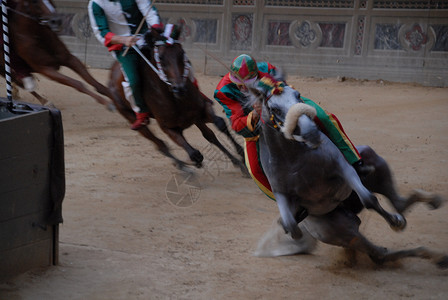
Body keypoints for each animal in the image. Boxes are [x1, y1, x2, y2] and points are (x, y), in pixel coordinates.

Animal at [108, 26, 248, 176]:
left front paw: (241, 158)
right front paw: (196, 161)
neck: (174, 99)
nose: (179, 88)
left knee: (208, 135)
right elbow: (193, 152)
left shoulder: (200, 111)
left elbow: (219, 125)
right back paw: (183, 167)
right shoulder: (168, 127)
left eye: (182, 53)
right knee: (160, 144)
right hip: (131, 116)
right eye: (161, 57)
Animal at [247, 78, 448, 268]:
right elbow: (292, 227)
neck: (295, 159)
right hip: (343, 232)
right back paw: (435, 256)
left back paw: (422, 210)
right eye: (274, 108)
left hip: (371, 158)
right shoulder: (281, 193)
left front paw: (394, 221)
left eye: (298, 95)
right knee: (379, 254)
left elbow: (368, 199)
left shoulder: (343, 169)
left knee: (397, 203)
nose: (311, 133)